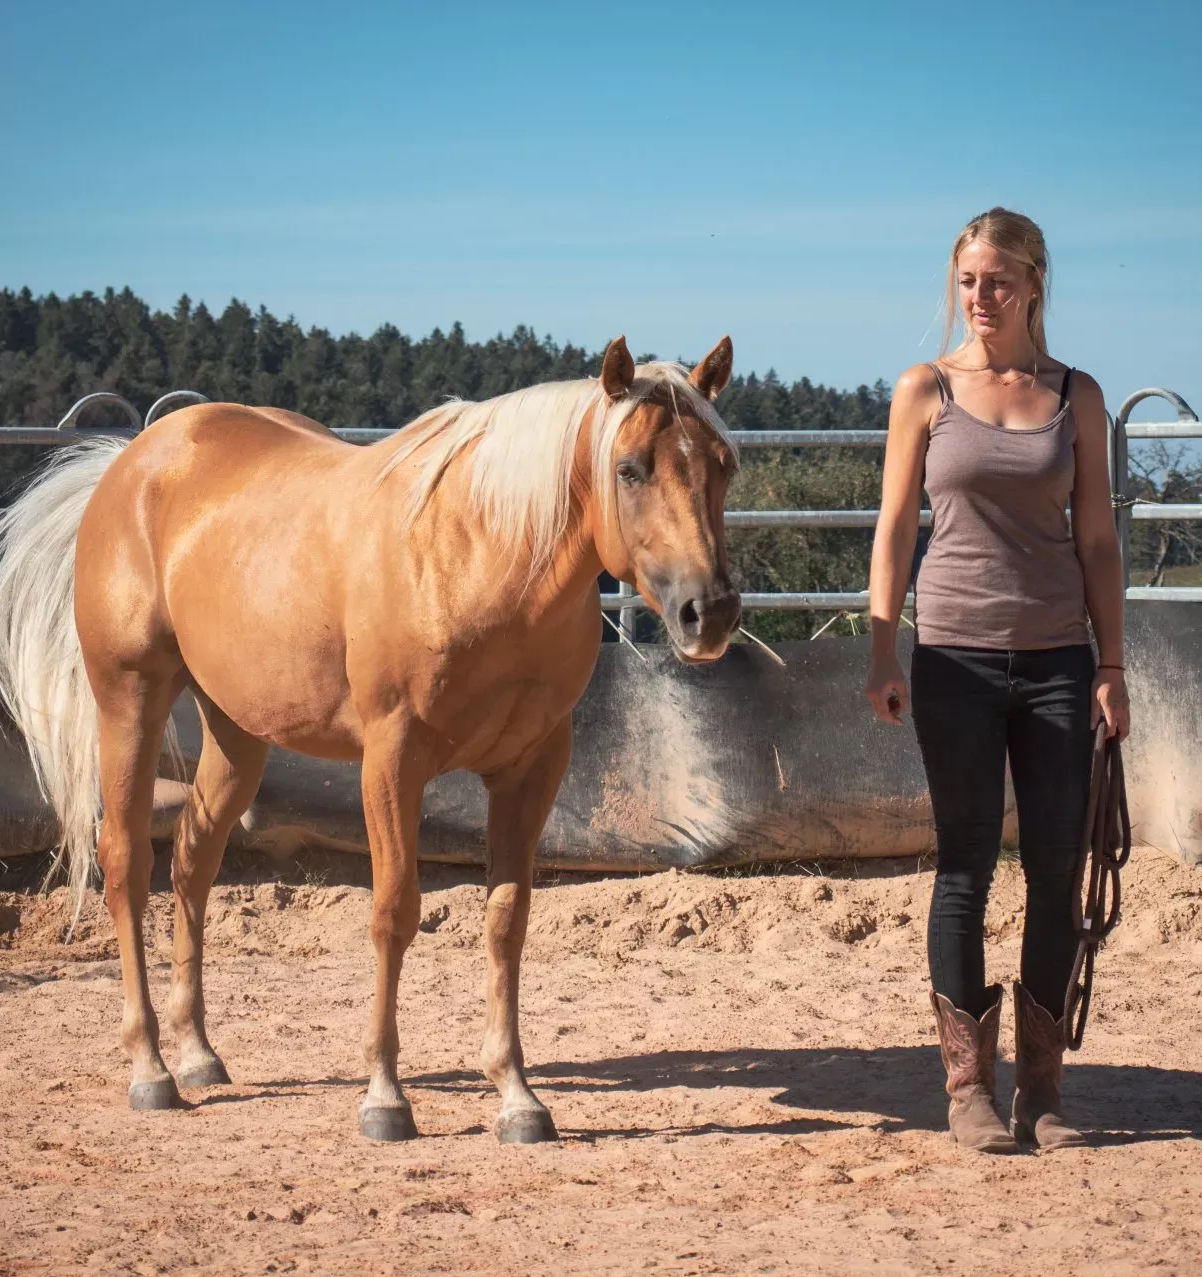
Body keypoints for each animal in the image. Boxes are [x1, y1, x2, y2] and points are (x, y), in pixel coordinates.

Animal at [0, 334, 740, 1144]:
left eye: (724, 463)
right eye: (629, 468)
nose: (709, 612)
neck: (477, 554)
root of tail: (129, 460)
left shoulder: (531, 768)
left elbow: (506, 919)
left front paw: (517, 1095)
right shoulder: (393, 762)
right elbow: (393, 913)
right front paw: (385, 1095)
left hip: (238, 733)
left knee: (192, 859)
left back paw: (197, 1054)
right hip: (128, 701)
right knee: (127, 862)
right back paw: (151, 1068)